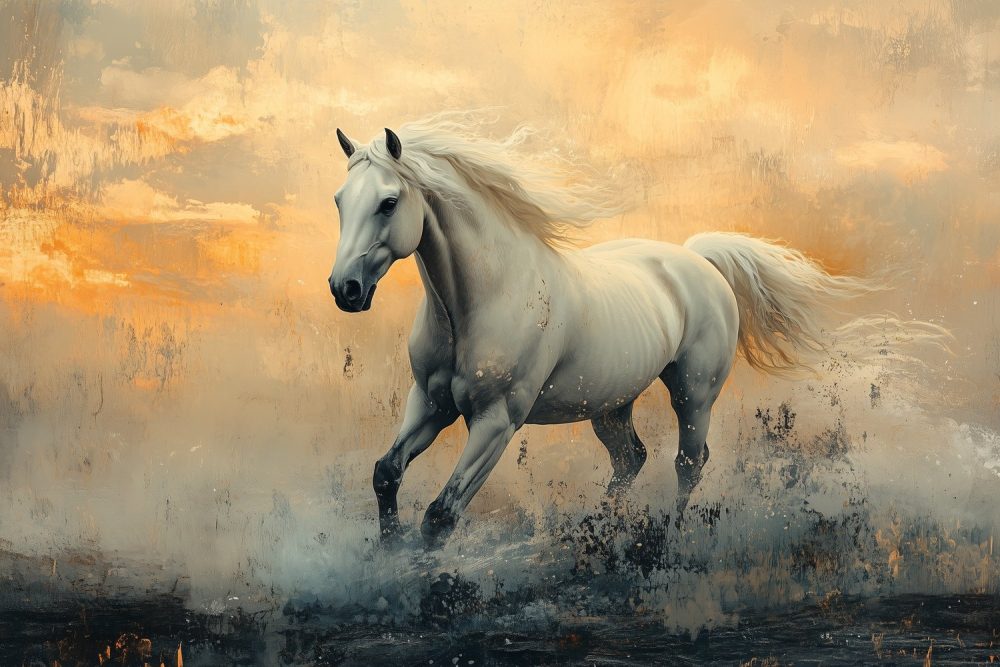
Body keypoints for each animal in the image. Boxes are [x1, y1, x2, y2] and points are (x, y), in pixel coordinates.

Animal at [327, 116, 874, 549]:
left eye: (389, 202)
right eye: (339, 200)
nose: (344, 289)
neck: (486, 299)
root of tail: (698, 259)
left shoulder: (496, 422)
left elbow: (441, 516)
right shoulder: (429, 403)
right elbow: (386, 474)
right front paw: (389, 555)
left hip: (693, 395)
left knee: (688, 462)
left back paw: (665, 542)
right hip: (611, 404)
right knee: (631, 459)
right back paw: (599, 533)